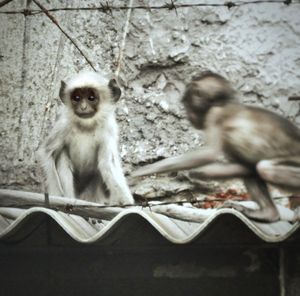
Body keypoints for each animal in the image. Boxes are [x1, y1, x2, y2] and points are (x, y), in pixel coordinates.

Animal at [38, 71, 134, 206]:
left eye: (91, 98)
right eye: (77, 98)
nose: (83, 107)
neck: (86, 126)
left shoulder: (108, 130)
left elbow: (107, 164)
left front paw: (126, 201)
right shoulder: (63, 126)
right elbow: (47, 153)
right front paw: (57, 196)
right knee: (62, 156)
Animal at [133, 71, 300, 222]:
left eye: (187, 104)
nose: (188, 115)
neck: (221, 103)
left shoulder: (214, 116)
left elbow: (209, 153)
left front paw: (142, 171)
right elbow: (243, 167)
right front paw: (197, 174)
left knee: (266, 169)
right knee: (252, 169)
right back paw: (268, 213)